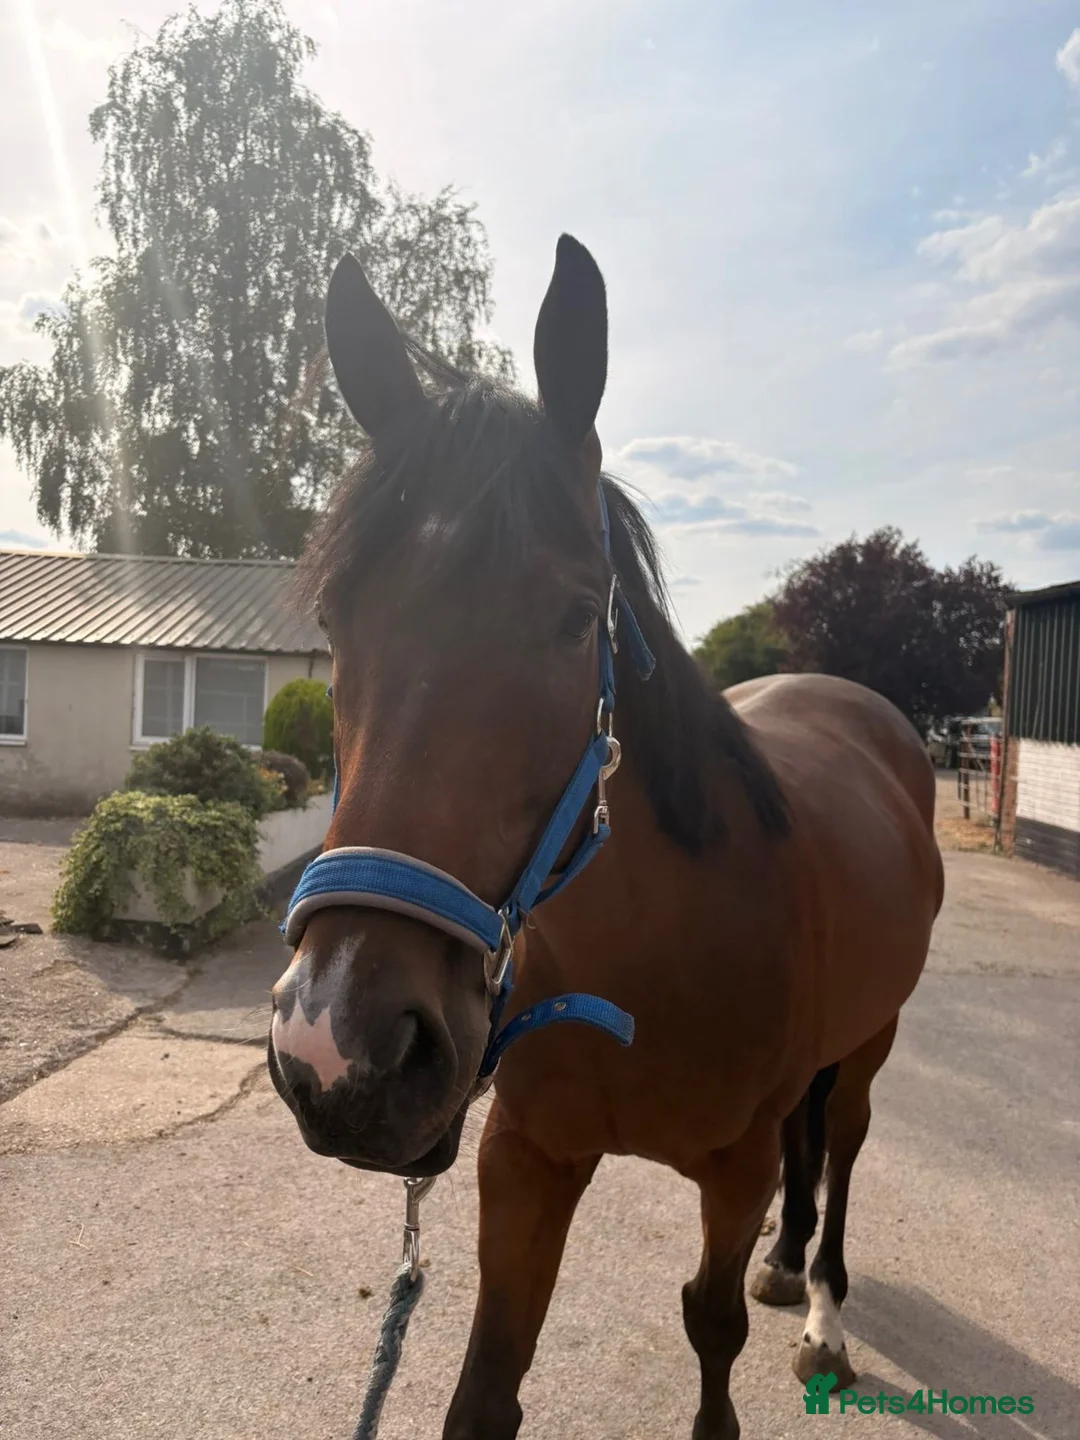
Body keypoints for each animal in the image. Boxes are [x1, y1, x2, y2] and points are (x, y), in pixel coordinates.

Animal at [267, 235, 944, 1440]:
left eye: (578, 618)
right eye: (338, 620)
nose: (339, 1050)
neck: (657, 953)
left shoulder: (731, 1168)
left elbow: (712, 1331)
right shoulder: (526, 1158)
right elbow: (486, 1387)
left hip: (872, 1042)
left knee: (845, 1144)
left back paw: (821, 1308)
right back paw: (788, 1263)